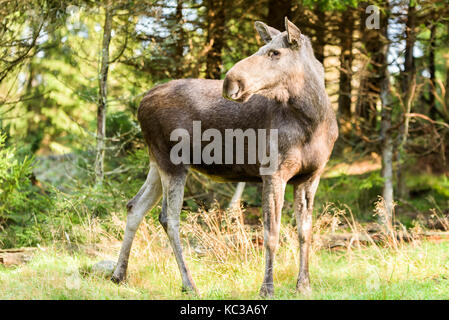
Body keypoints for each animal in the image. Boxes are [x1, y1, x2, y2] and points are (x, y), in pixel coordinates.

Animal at [112, 17, 336, 296]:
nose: (230, 81)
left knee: (135, 206)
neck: (314, 121)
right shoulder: (272, 171)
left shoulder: (311, 176)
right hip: (173, 161)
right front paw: (267, 288)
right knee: (168, 217)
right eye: (262, 48)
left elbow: (305, 232)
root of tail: (141, 105)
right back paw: (189, 284)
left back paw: (119, 274)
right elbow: (271, 234)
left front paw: (304, 286)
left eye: (275, 52)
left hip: (157, 160)